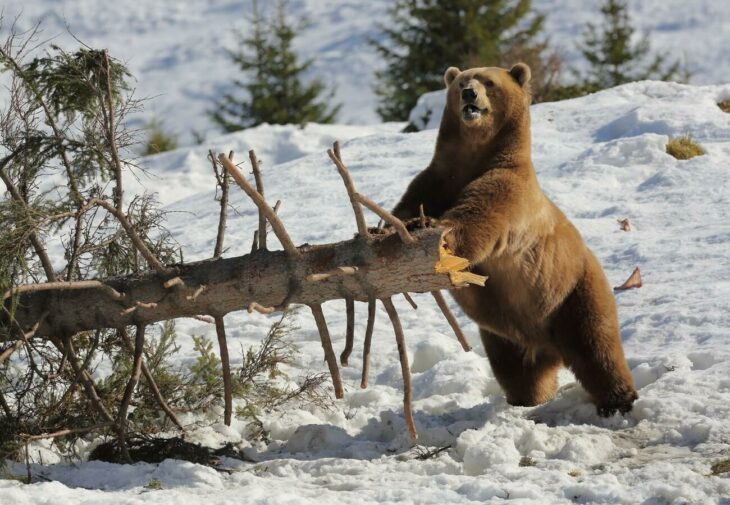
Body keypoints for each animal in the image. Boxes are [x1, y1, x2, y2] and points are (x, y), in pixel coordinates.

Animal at [390, 63, 636, 416]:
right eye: (461, 83)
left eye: (489, 82)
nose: (469, 93)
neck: (476, 155)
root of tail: (549, 347)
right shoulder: (437, 179)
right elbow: (408, 202)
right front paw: (388, 228)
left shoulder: (508, 187)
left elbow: (475, 220)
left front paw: (437, 233)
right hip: (504, 335)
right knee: (517, 371)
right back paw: (528, 400)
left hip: (572, 293)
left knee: (597, 347)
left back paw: (617, 401)